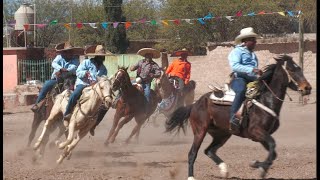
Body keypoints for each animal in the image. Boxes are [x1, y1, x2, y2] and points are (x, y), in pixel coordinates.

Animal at [164, 55, 312, 180]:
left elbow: (273, 152)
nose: (308, 88)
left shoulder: (262, 135)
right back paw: (191, 177)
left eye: (300, 68)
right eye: (291, 69)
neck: (266, 100)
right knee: (193, 153)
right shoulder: (256, 132)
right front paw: (258, 167)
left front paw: (258, 166)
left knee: (209, 151)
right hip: (200, 131)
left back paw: (224, 170)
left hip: (222, 134)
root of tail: (195, 104)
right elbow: (272, 146)